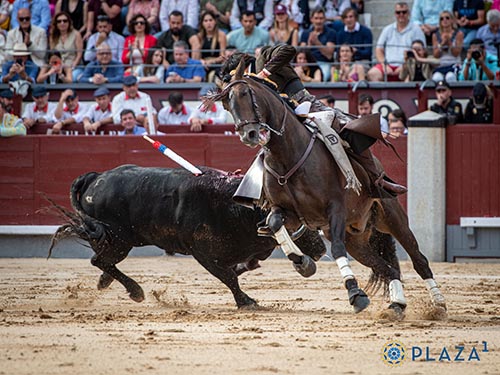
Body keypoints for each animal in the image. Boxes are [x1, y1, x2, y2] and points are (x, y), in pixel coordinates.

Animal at [47, 164, 328, 308]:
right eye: (299, 221)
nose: (321, 250)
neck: (237, 207)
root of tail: (95, 177)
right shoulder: (202, 253)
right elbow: (228, 277)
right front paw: (246, 301)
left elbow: (244, 267)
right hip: (120, 240)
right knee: (99, 260)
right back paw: (136, 291)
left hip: (115, 240)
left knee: (102, 260)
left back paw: (106, 282)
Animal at [210, 61, 446, 318]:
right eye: (226, 103)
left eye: (244, 93)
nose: (249, 135)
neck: (287, 155)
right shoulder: (288, 212)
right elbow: (274, 224)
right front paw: (303, 263)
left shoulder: (335, 209)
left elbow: (337, 250)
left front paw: (355, 294)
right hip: (357, 240)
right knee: (387, 268)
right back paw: (396, 305)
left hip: (393, 218)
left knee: (419, 259)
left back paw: (438, 304)